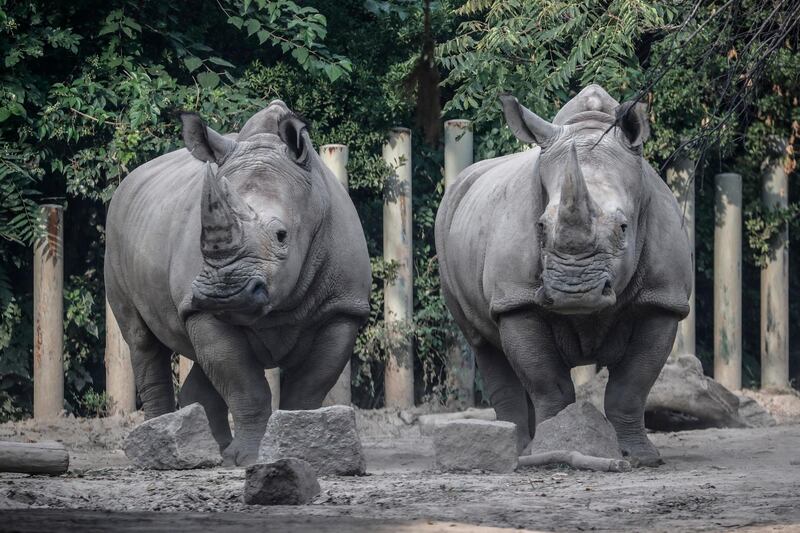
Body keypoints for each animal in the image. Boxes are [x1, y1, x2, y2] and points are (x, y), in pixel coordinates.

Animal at [102, 101, 372, 466]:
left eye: (281, 235)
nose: (224, 292)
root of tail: (130, 179)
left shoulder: (342, 309)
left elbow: (307, 387)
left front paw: (296, 446)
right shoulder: (200, 309)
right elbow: (244, 386)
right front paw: (248, 458)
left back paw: (210, 450)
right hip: (116, 231)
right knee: (141, 339)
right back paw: (160, 452)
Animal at [434, 85, 692, 464]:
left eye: (624, 228)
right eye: (541, 227)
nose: (575, 293)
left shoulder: (662, 300)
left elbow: (631, 386)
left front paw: (641, 457)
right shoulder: (517, 298)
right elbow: (548, 384)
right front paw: (551, 448)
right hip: (447, 223)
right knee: (482, 342)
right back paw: (515, 450)